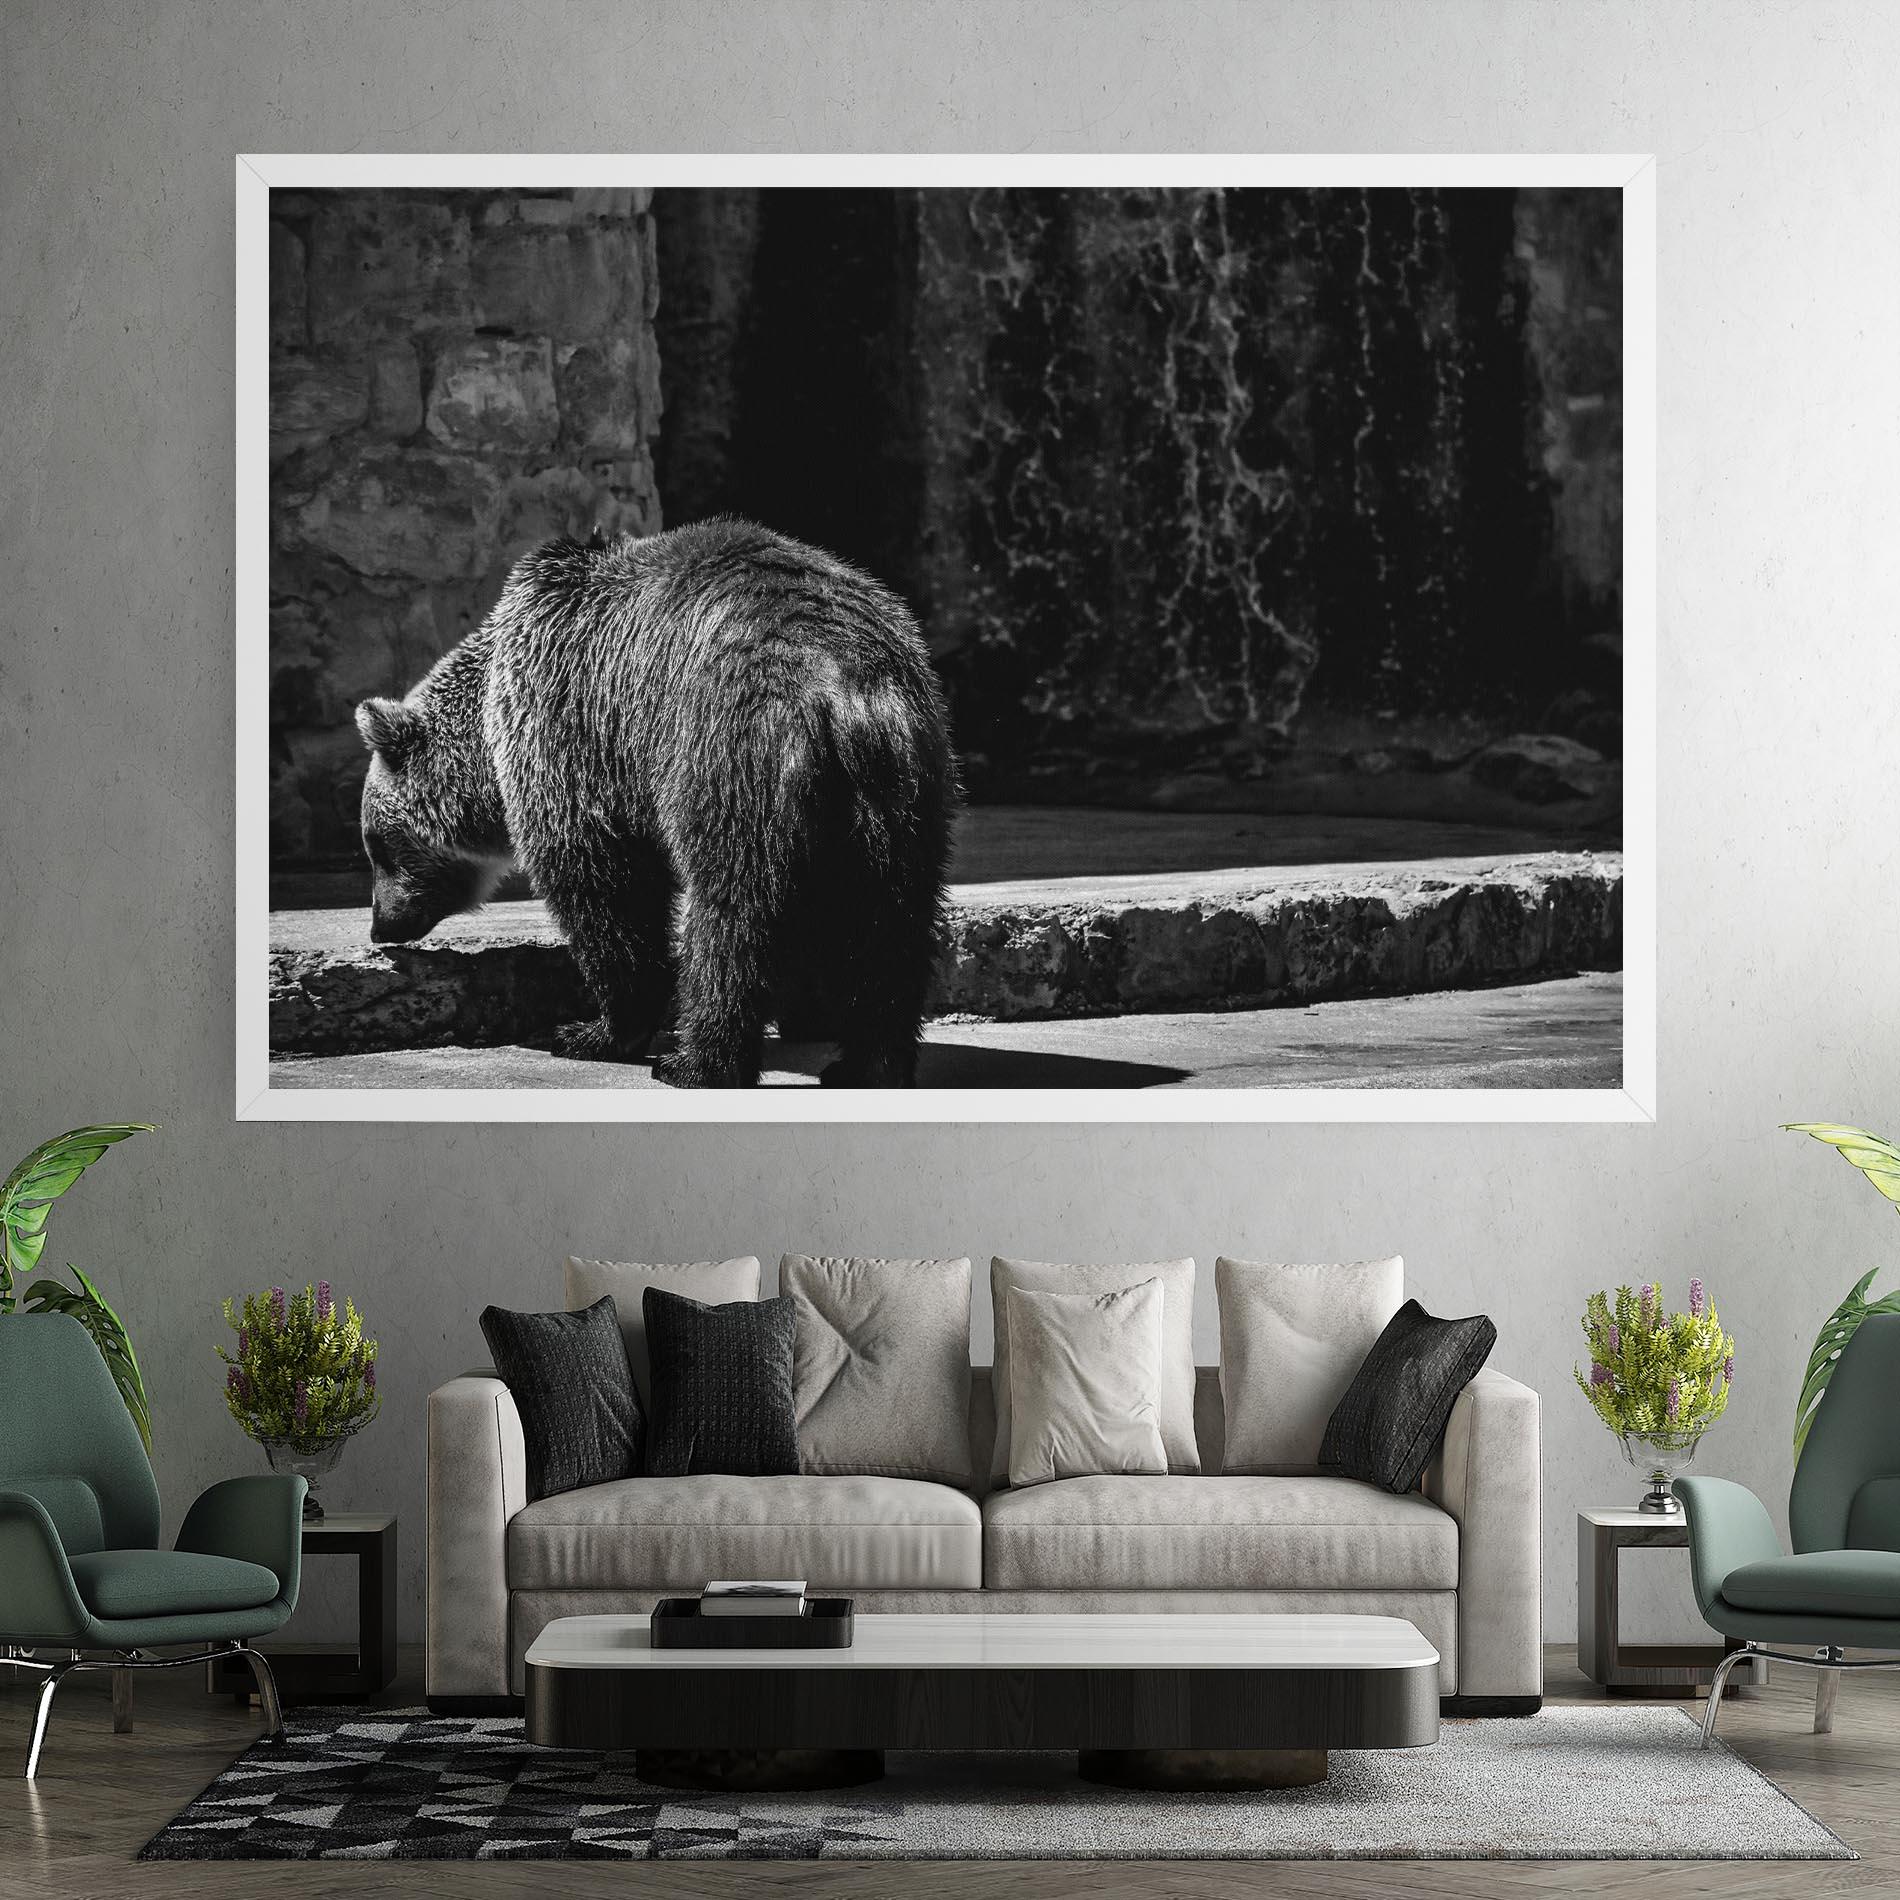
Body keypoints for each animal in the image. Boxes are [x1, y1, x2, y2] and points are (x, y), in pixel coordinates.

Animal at [353, 518, 958, 1088]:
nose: (381, 926)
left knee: (733, 912)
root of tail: (844, 687)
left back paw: (696, 1063)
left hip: (730, 753)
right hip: (902, 791)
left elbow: (603, 884)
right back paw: (869, 1064)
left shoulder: (574, 725)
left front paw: (590, 1030)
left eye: (376, 845)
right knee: (890, 920)